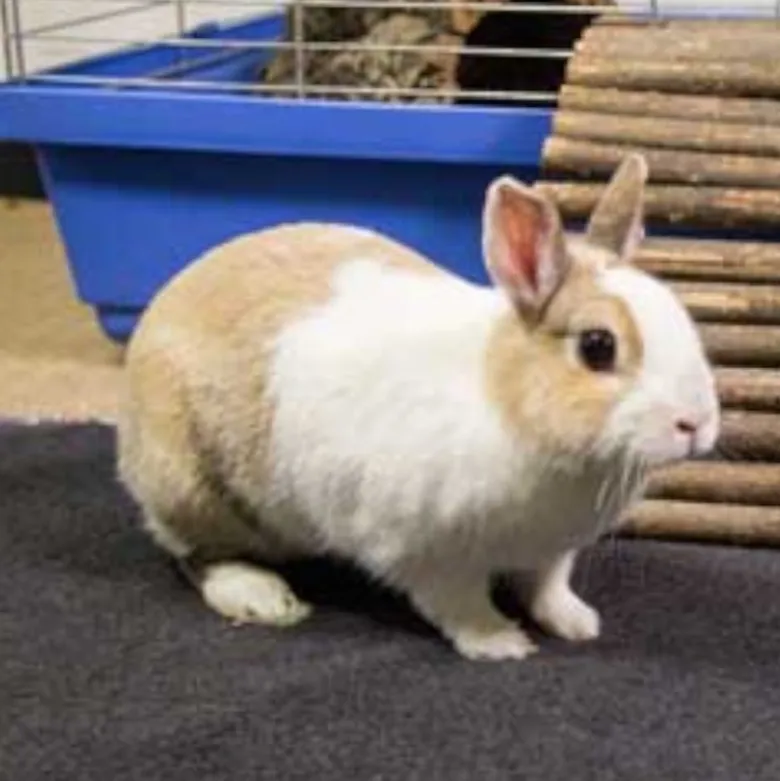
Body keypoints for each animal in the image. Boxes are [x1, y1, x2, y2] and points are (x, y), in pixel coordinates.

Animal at [117, 154, 720, 662]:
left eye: (681, 314)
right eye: (598, 346)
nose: (696, 424)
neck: (509, 403)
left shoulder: (551, 552)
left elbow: (546, 587)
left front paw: (577, 623)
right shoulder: (424, 553)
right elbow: (458, 603)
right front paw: (501, 644)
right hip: (192, 488)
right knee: (194, 554)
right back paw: (262, 597)